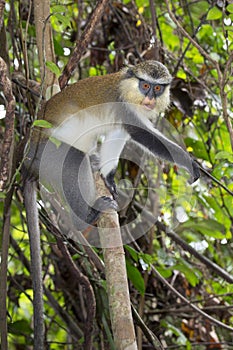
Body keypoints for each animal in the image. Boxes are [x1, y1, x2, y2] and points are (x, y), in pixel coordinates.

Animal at [25, 61, 200, 231]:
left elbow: (118, 133)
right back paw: (84, 219)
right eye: (145, 86)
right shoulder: (124, 106)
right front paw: (190, 163)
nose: (150, 98)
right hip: (47, 150)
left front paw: (108, 177)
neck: (127, 88)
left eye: (157, 88)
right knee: (73, 160)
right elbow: (143, 134)